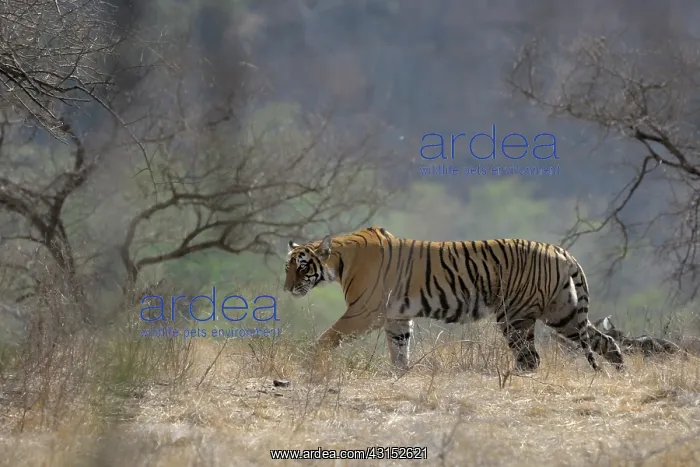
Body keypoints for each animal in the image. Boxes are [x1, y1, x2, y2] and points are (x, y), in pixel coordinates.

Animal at [283, 226, 624, 372]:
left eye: (301, 266)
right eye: (287, 267)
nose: (287, 289)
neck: (339, 261)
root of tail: (562, 251)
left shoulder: (363, 312)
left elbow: (327, 338)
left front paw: (311, 363)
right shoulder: (396, 316)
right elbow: (399, 349)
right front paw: (400, 373)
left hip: (515, 316)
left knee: (530, 358)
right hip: (562, 313)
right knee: (604, 340)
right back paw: (620, 371)